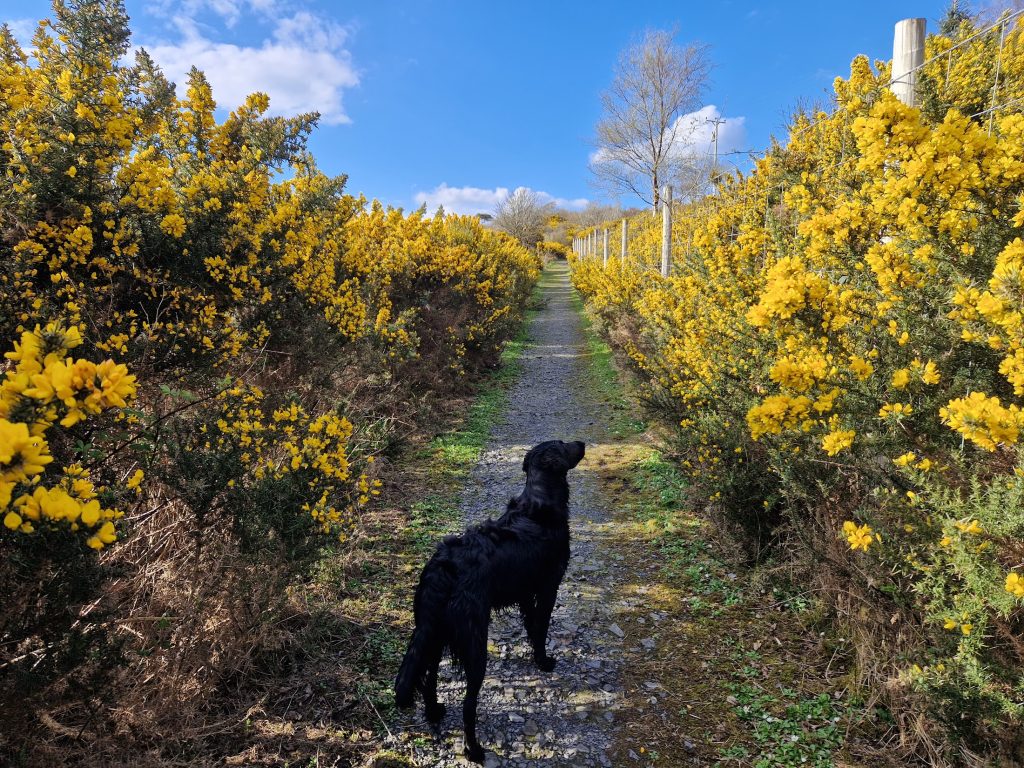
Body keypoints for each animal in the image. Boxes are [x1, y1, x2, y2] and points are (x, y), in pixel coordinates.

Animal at [391, 438, 585, 765]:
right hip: (474, 643)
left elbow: (531, 626)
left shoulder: (525, 593)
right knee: (468, 705)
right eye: (563, 444)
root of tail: (444, 567)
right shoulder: (548, 586)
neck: (538, 502)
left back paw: (434, 711)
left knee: (429, 678)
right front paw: (544, 661)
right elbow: (541, 628)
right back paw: (474, 750)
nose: (582, 443)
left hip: (433, 632)